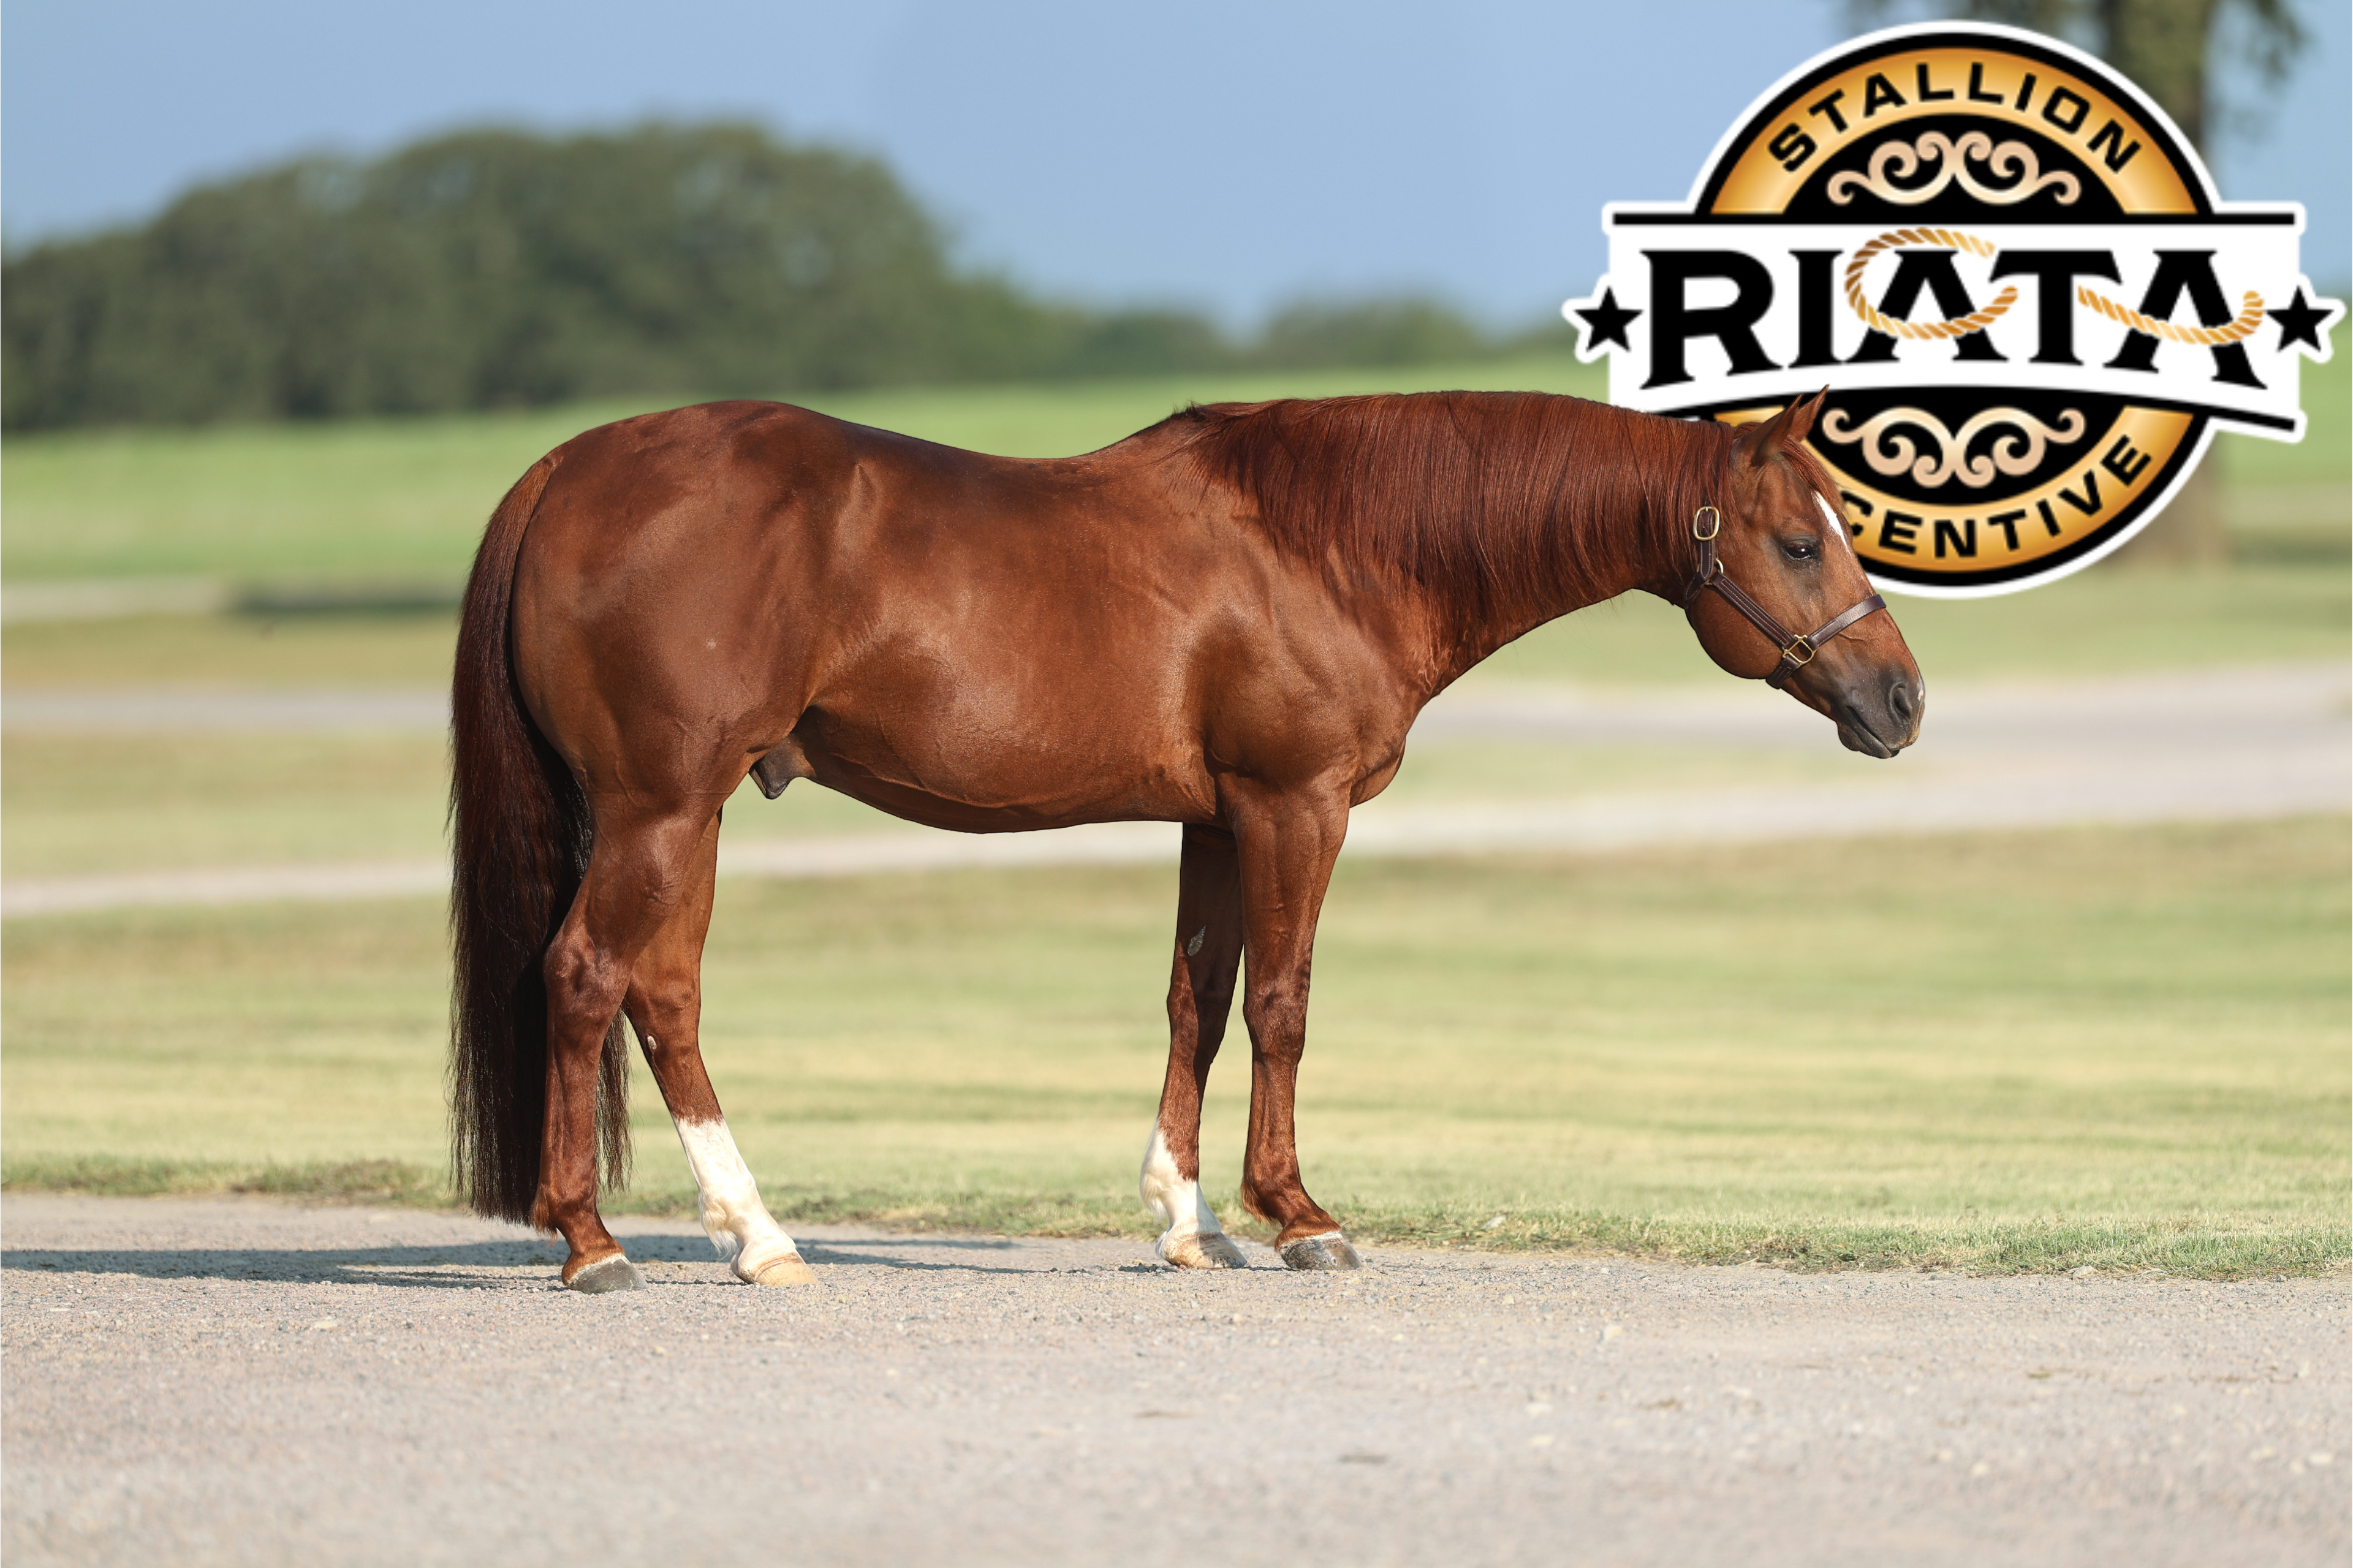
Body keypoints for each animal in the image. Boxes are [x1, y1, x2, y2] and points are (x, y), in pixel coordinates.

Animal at [449, 386, 1923, 1292]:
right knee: (588, 976)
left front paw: (1188, 1216)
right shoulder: (1292, 805)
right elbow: (1281, 1006)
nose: (1902, 699)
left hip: (683, 818)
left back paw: (755, 1235)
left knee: (664, 995)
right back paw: (595, 1240)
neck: (1329, 546)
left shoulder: (1214, 822)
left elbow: (1196, 1005)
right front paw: (1302, 1216)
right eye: (1801, 543)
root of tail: (567, 468)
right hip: (659, 809)